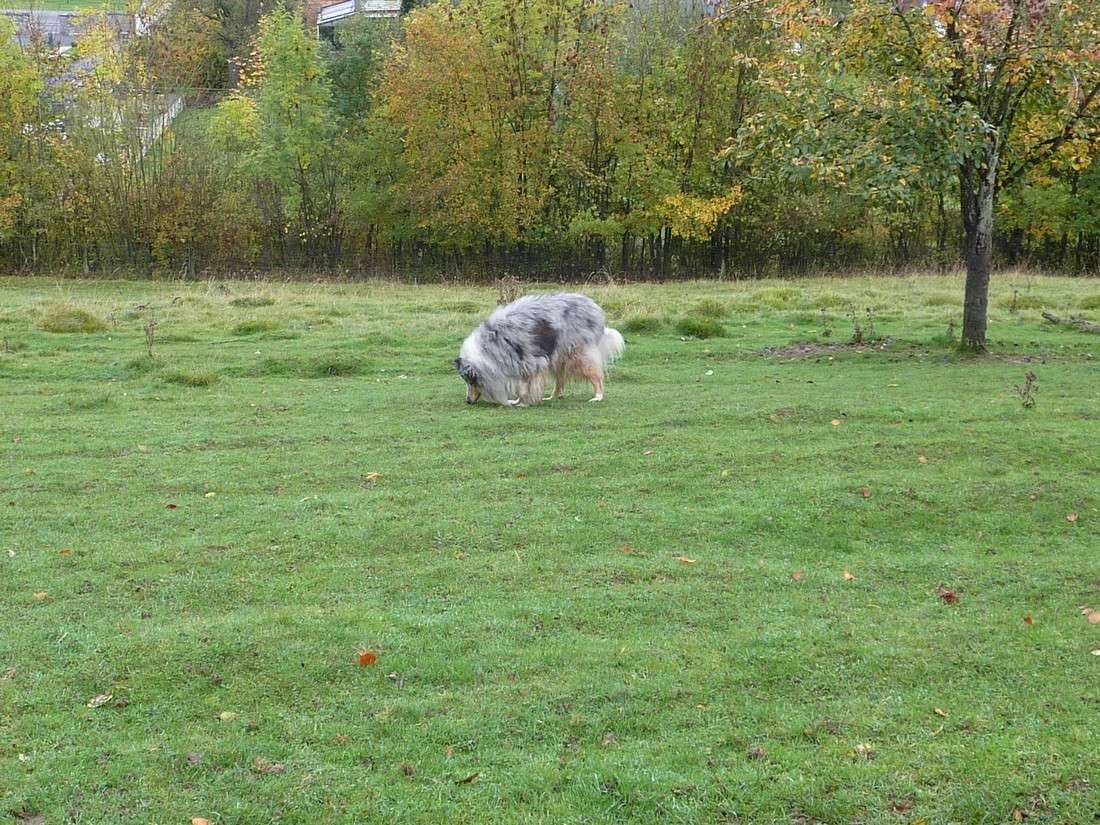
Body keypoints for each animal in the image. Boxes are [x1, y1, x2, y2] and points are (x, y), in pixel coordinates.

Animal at [455, 294, 629, 407]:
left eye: (471, 381)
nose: (468, 401)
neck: (491, 348)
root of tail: (594, 307)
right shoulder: (520, 365)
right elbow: (521, 386)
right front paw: (516, 401)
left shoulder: (530, 363)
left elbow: (524, 388)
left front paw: (522, 402)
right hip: (557, 358)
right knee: (560, 382)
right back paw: (552, 397)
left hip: (578, 355)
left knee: (597, 376)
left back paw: (598, 397)